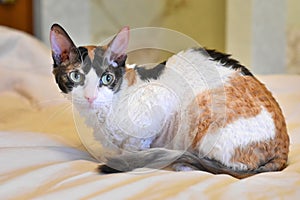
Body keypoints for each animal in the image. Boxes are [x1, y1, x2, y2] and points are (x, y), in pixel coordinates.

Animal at [50, 23, 290, 178]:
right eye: (75, 76)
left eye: (107, 78)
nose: (90, 96)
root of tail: (284, 149)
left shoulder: (159, 107)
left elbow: (136, 147)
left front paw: (130, 162)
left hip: (198, 116)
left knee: (234, 168)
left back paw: (184, 165)